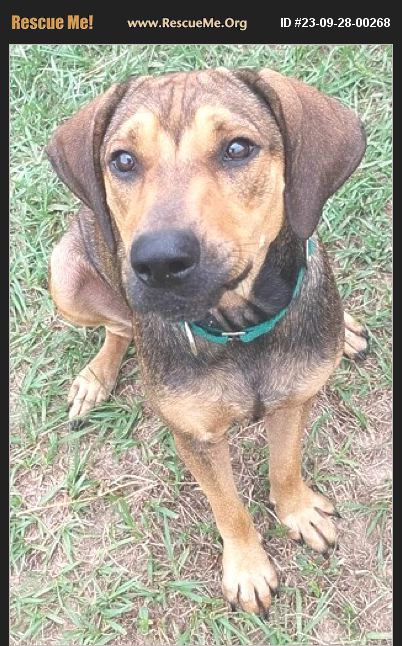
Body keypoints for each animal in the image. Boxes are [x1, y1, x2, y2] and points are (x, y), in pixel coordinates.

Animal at [46, 67, 368, 615]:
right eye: (123, 160)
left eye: (237, 148)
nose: (158, 261)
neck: (240, 327)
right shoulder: (195, 436)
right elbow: (228, 506)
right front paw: (248, 568)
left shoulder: (294, 399)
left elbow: (285, 465)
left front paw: (298, 511)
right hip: (64, 275)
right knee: (119, 326)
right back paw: (95, 378)